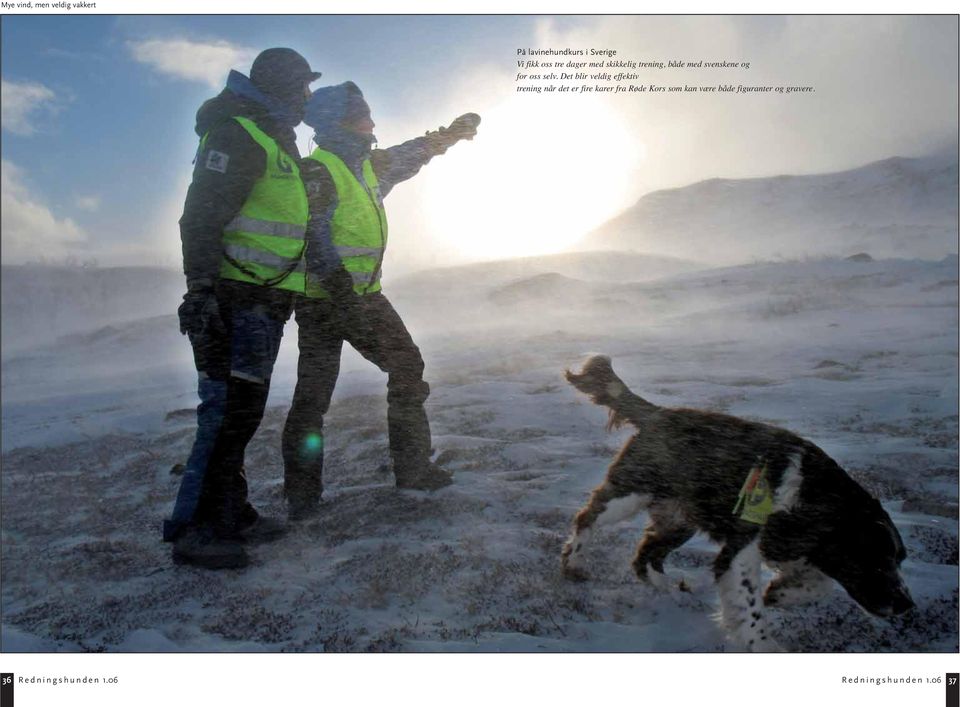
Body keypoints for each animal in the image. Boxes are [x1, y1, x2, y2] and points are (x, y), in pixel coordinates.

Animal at [564, 354, 916, 652]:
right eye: (874, 560)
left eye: (899, 560)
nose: (906, 605)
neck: (808, 492)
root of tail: (657, 413)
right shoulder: (742, 549)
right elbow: (749, 607)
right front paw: (765, 645)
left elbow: (817, 583)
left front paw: (780, 592)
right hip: (629, 493)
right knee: (588, 517)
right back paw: (574, 563)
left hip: (680, 518)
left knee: (646, 552)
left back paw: (670, 591)